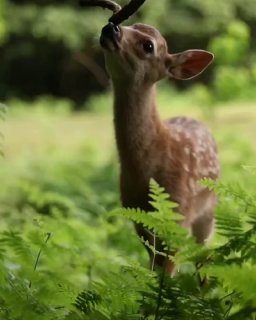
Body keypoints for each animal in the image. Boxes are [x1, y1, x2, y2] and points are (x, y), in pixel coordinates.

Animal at [81, 0, 221, 276]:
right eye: (132, 25)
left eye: (148, 45)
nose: (111, 27)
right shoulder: (137, 215)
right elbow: (153, 269)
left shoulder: (179, 212)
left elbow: (167, 273)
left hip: (208, 210)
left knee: (204, 256)